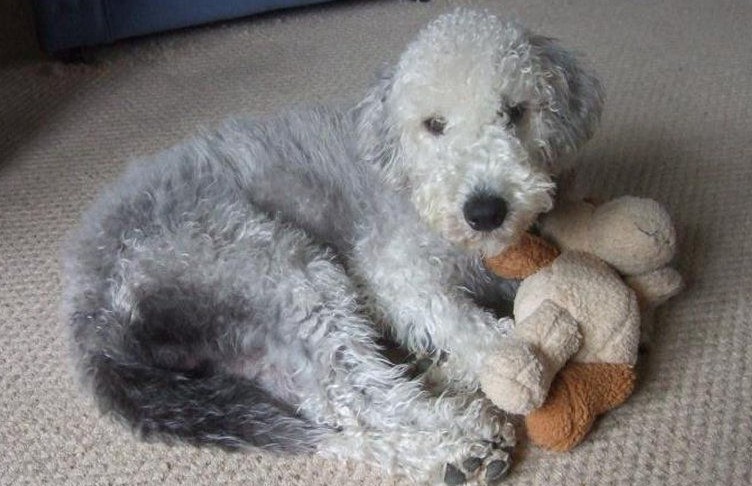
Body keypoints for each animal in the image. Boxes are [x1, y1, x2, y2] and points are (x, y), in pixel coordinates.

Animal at [64, 8, 604, 486]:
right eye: (434, 124)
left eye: (515, 113)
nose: (486, 210)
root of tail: (92, 321)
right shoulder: (394, 272)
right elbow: (467, 324)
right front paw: (517, 355)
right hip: (279, 268)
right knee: (361, 398)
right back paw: (460, 443)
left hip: (263, 342)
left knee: (330, 418)